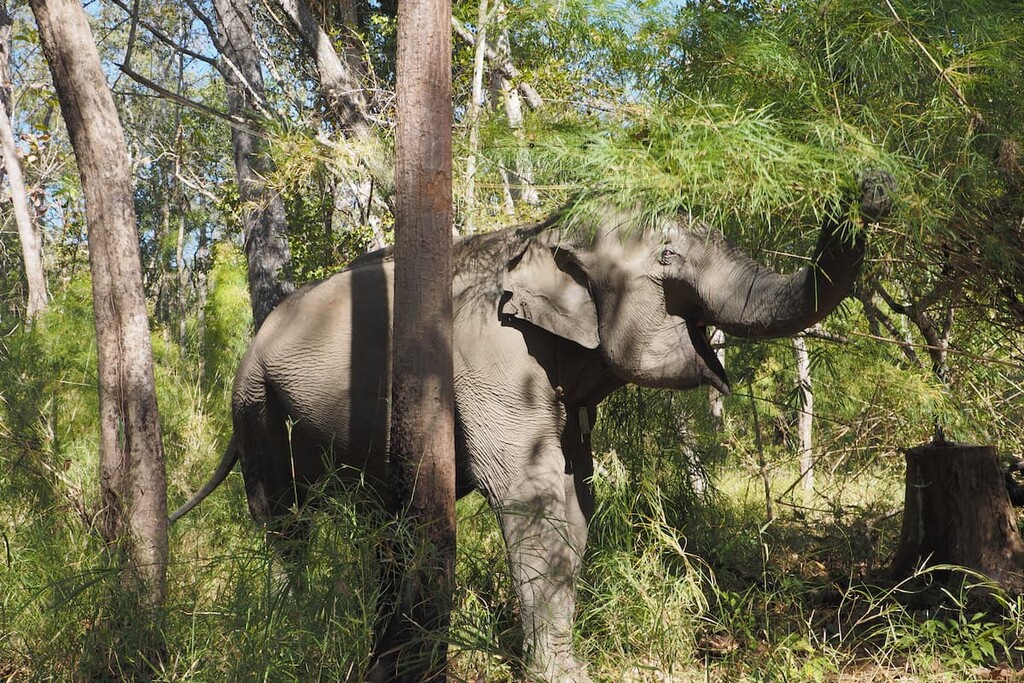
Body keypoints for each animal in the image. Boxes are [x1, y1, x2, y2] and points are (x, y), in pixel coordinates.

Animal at [173, 172, 893, 682]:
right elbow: (533, 493)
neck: (544, 235)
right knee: (284, 519)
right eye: (668, 254)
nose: (872, 183)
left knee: (385, 527)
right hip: (257, 405)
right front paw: (559, 675)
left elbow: (576, 496)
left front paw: (568, 668)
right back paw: (295, 629)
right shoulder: (491, 356)